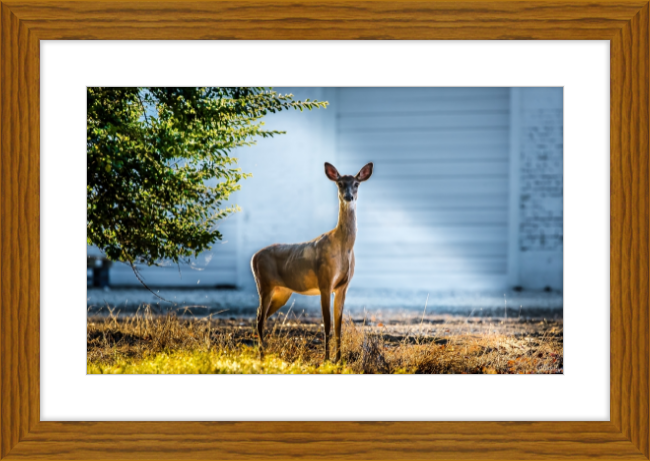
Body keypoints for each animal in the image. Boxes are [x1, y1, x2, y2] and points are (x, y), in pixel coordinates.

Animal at [249, 162, 372, 362]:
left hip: (282, 291)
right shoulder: (325, 282)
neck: (343, 247)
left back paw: (264, 354)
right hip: (265, 284)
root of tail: (253, 257)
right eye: (339, 183)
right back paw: (261, 357)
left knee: (261, 316)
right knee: (260, 319)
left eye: (356, 183)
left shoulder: (342, 286)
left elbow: (339, 326)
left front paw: (339, 360)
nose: (349, 196)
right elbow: (327, 324)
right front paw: (326, 360)